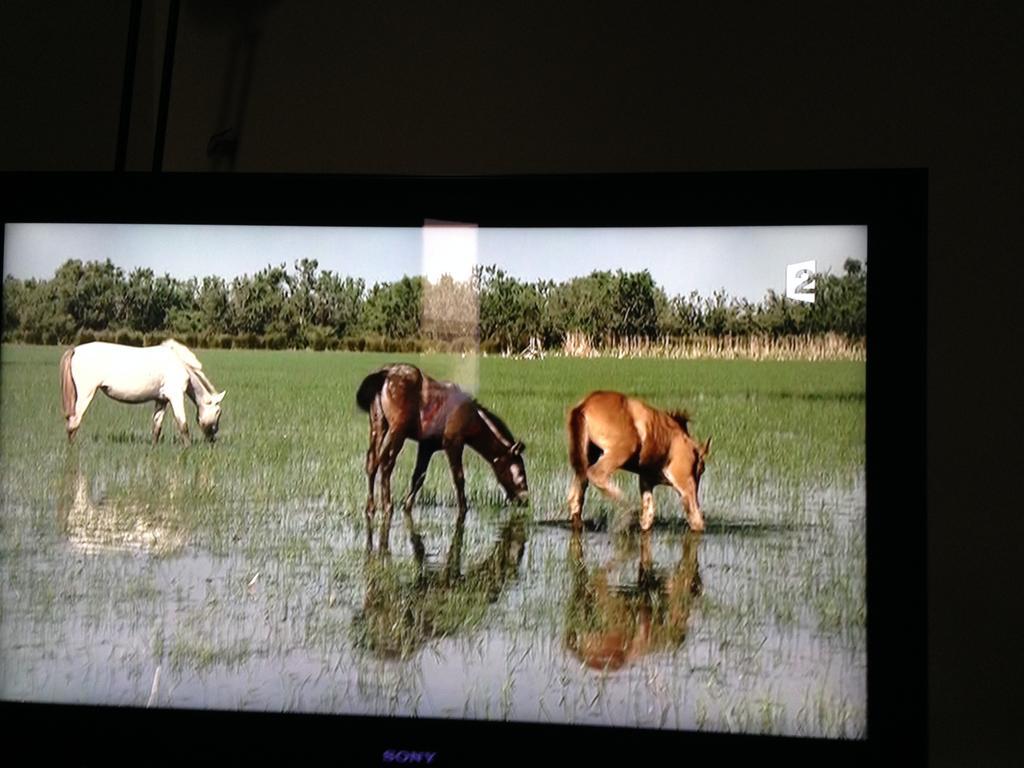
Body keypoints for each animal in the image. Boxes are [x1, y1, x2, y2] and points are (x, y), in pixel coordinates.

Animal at [59, 337, 226, 444]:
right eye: (218, 411)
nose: (213, 437)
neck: (180, 365)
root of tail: (75, 350)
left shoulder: (162, 400)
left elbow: (156, 428)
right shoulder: (176, 397)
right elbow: (182, 425)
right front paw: (188, 448)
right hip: (85, 396)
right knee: (74, 423)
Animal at [356, 364, 528, 548]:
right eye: (520, 471)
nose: (524, 499)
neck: (471, 417)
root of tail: (385, 373)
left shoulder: (427, 446)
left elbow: (419, 477)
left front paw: (407, 506)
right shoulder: (453, 443)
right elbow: (458, 478)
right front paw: (463, 508)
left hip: (378, 424)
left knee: (372, 462)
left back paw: (370, 507)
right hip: (397, 430)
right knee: (386, 464)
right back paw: (387, 505)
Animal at [569, 393, 712, 532]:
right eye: (702, 469)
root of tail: (583, 406)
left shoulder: (646, 479)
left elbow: (648, 517)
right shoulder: (684, 481)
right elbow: (695, 516)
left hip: (587, 457)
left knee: (576, 496)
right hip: (621, 451)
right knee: (596, 474)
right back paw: (630, 511)